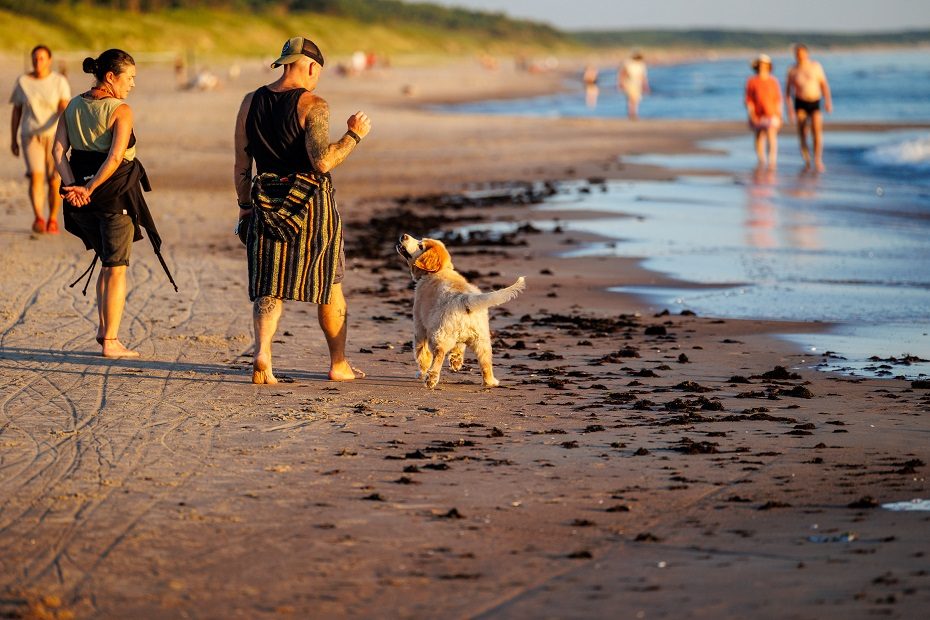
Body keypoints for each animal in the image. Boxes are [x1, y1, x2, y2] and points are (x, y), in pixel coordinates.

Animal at [392, 236, 520, 388]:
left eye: (420, 246)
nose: (403, 236)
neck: (439, 271)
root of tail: (464, 298)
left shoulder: (420, 326)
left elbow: (422, 352)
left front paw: (421, 371)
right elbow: (459, 347)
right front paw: (456, 361)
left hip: (440, 335)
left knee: (439, 354)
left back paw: (431, 379)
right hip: (481, 339)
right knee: (485, 362)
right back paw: (490, 381)